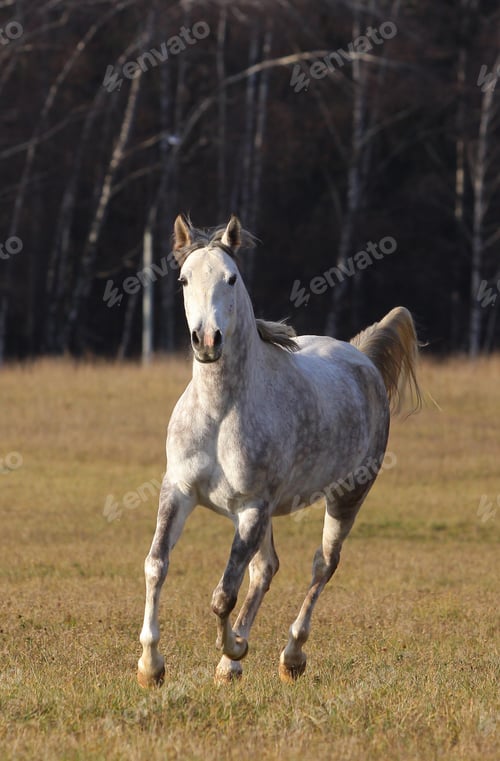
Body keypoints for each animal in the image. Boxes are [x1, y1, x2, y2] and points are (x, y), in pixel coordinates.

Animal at [137, 214, 421, 686]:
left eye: (231, 278)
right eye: (183, 279)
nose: (207, 341)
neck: (220, 411)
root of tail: (362, 358)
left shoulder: (253, 506)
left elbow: (222, 595)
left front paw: (233, 646)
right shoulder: (178, 491)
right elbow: (157, 564)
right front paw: (151, 666)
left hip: (345, 498)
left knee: (322, 565)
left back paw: (290, 656)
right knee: (266, 569)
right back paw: (233, 664)